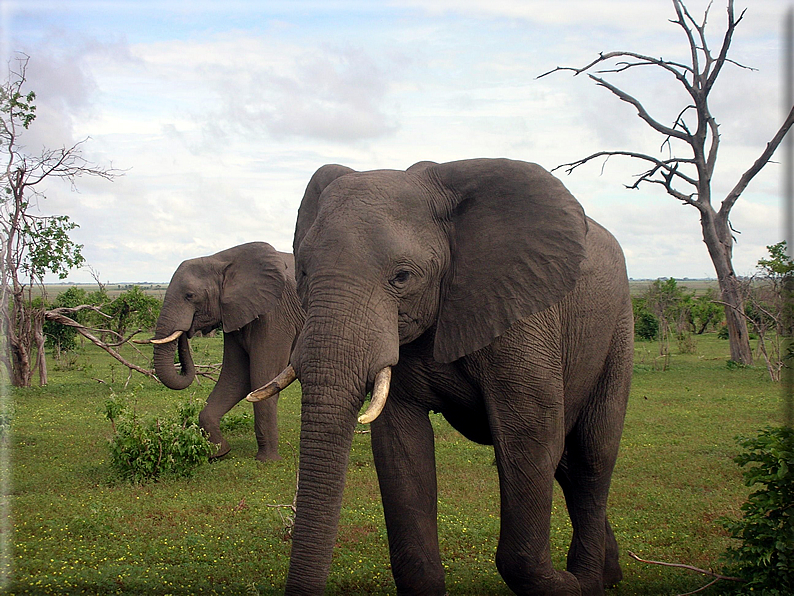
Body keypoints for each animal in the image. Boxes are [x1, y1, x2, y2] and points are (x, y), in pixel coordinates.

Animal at [151, 241, 304, 460]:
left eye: (190, 296)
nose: (186, 332)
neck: (220, 259)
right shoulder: (235, 314)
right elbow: (236, 378)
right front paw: (220, 453)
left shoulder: (276, 314)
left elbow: (261, 378)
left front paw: (267, 460)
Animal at [251, 156, 636, 592]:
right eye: (302, 273)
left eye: (402, 277)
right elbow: (402, 448)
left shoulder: (522, 315)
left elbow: (530, 438)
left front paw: (568, 587)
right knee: (569, 466)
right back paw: (608, 573)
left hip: (618, 329)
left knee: (592, 456)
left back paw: (590, 581)